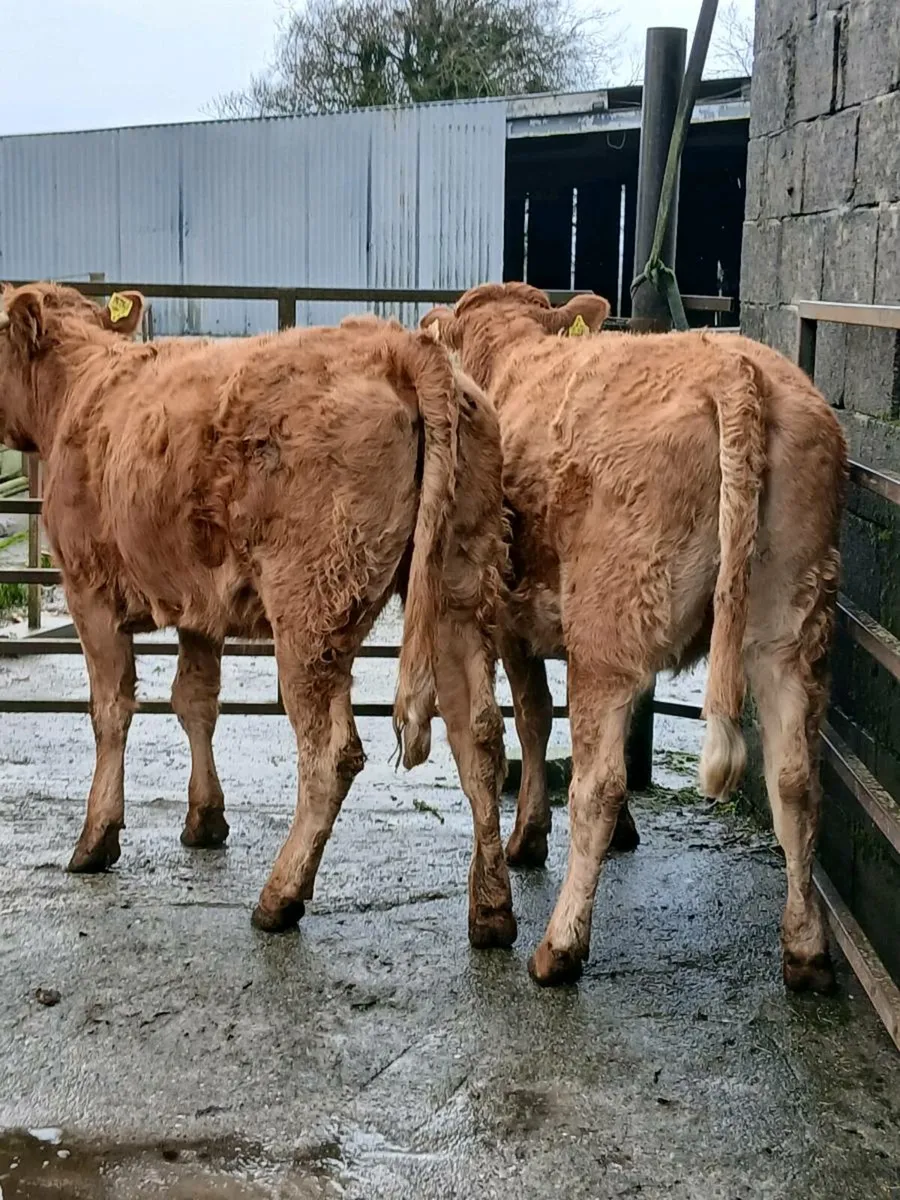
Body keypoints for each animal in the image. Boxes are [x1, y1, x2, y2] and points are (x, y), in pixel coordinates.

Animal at [0, 283, 516, 951]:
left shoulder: (90, 591)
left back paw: (280, 895)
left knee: (331, 754)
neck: (81, 388)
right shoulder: (199, 606)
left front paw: (96, 838)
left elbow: (111, 711)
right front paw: (205, 817)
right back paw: (492, 909)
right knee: (478, 736)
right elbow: (194, 701)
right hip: (459, 585)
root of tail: (399, 345)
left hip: (310, 610)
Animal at [422, 282, 847, 992]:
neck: (508, 353)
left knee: (597, 785)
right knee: (794, 781)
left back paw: (559, 947)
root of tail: (736, 369)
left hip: (608, 622)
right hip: (788, 623)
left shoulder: (510, 622)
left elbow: (535, 718)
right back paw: (807, 953)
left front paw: (528, 838)